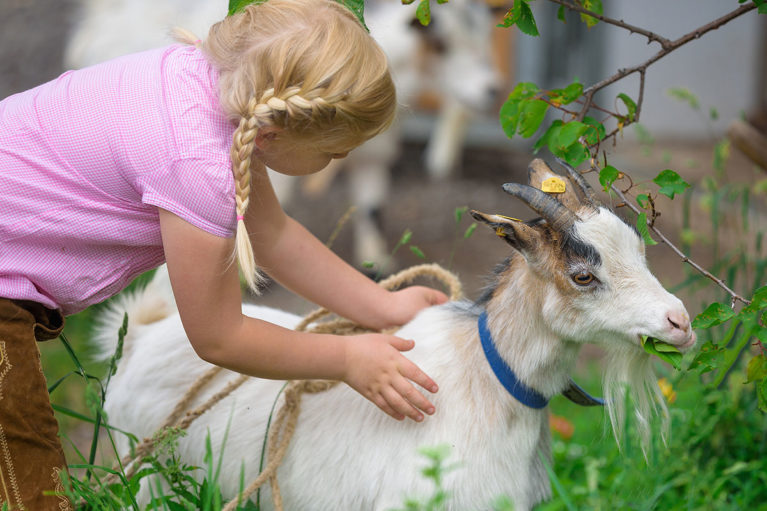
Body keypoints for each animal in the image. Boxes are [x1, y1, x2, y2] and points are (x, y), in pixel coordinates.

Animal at [95, 158, 695, 510]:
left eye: (638, 248)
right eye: (582, 275)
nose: (681, 323)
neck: (488, 379)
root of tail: (144, 334)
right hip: (144, 482)